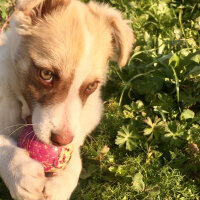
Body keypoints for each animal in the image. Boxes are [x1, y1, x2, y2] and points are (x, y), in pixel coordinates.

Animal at [0, 0, 134, 199]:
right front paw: (19, 171)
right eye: (46, 74)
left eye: (91, 86)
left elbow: (75, 156)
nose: (61, 141)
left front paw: (61, 183)